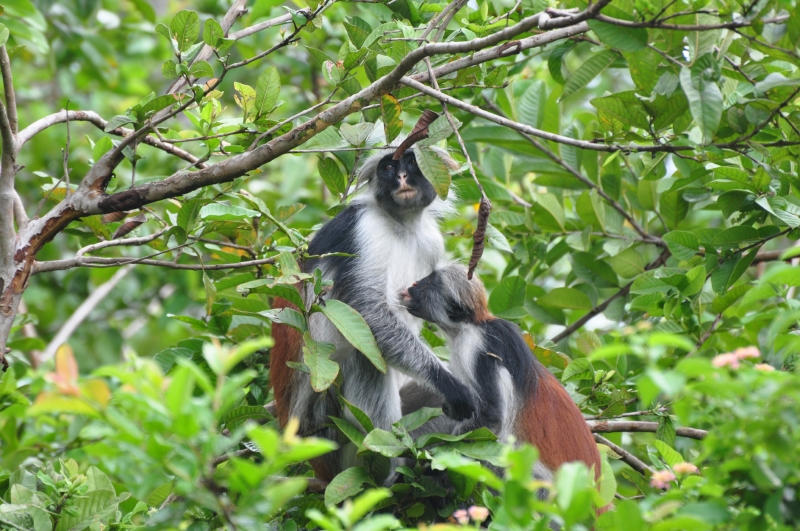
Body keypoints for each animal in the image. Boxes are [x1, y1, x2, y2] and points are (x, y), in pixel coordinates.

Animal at [269, 112, 476, 483]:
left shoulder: (430, 240)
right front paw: (448, 383)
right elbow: (367, 312)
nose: (402, 177)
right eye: (389, 167)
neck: (402, 223)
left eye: (411, 162)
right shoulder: (363, 228)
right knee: (366, 356)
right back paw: (387, 474)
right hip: (324, 430)